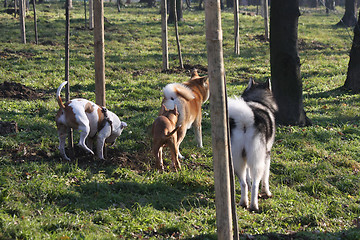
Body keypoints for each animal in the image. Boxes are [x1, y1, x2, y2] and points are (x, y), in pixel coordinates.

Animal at [229, 79, 278, 212]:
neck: (257, 100)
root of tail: (245, 121)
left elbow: (248, 178)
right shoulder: (267, 155)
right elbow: (265, 178)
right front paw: (267, 193)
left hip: (237, 161)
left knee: (243, 183)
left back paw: (243, 202)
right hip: (257, 161)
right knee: (256, 183)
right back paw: (254, 205)